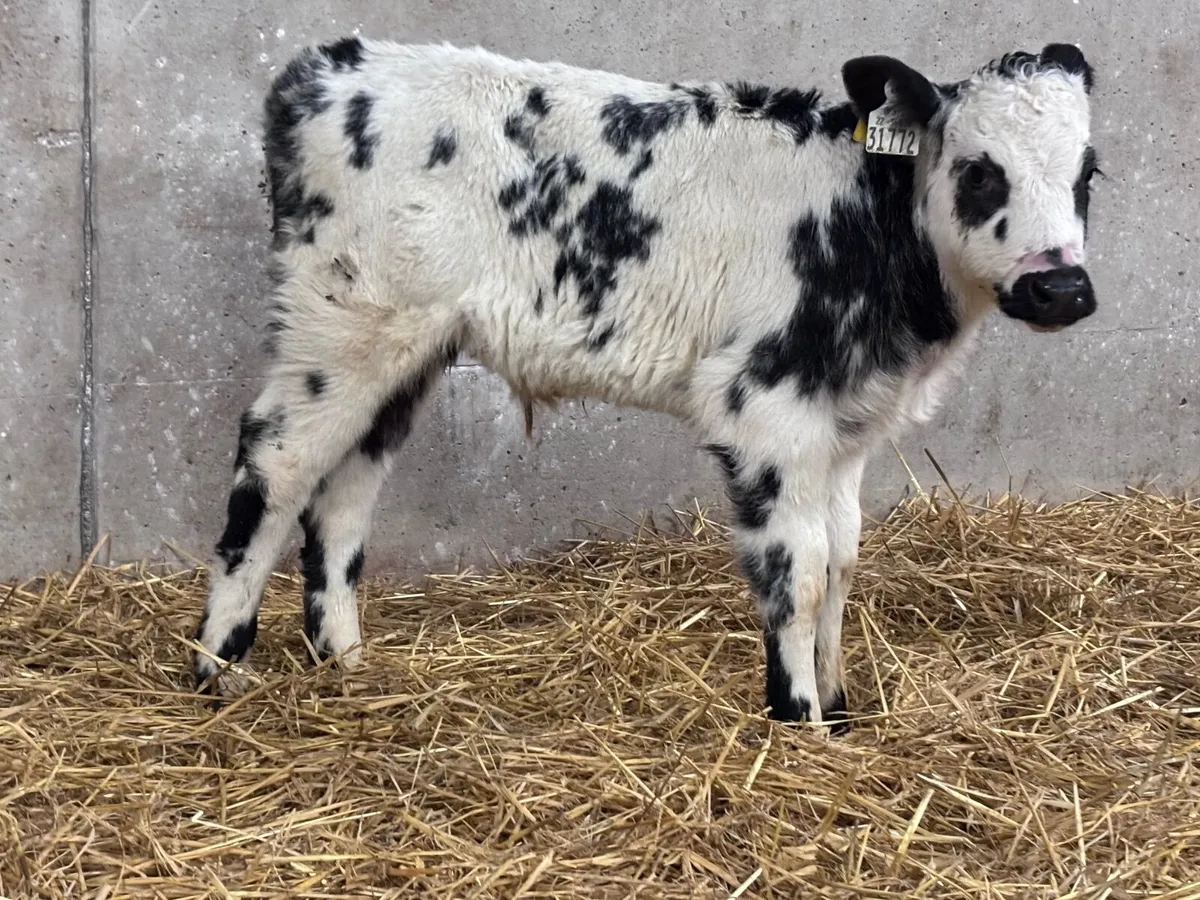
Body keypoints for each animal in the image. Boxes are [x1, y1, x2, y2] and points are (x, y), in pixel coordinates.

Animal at [191, 36, 1101, 730]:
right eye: (980, 170)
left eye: (1088, 173)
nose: (1060, 288)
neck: (865, 226)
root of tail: (328, 66)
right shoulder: (763, 408)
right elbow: (799, 571)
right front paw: (798, 715)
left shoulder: (845, 425)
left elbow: (843, 557)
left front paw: (839, 707)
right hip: (340, 323)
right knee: (275, 466)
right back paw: (217, 667)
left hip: (406, 347)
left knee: (345, 489)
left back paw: (345, 661)